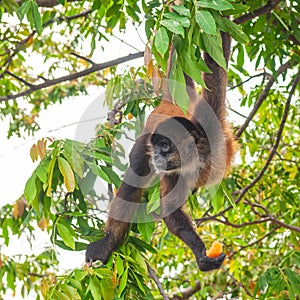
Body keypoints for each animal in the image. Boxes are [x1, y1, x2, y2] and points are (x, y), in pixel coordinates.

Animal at [85, 27, 236, 272]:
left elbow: (216, 66)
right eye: (157, 147)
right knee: (135, 175)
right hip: (143, 146)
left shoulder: (209, 128)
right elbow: (170, 208)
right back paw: (109, 242)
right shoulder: (171, 166)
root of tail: (171, 103)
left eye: (165, 146)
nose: (156, 154)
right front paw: (200, 252)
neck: (198, 158)